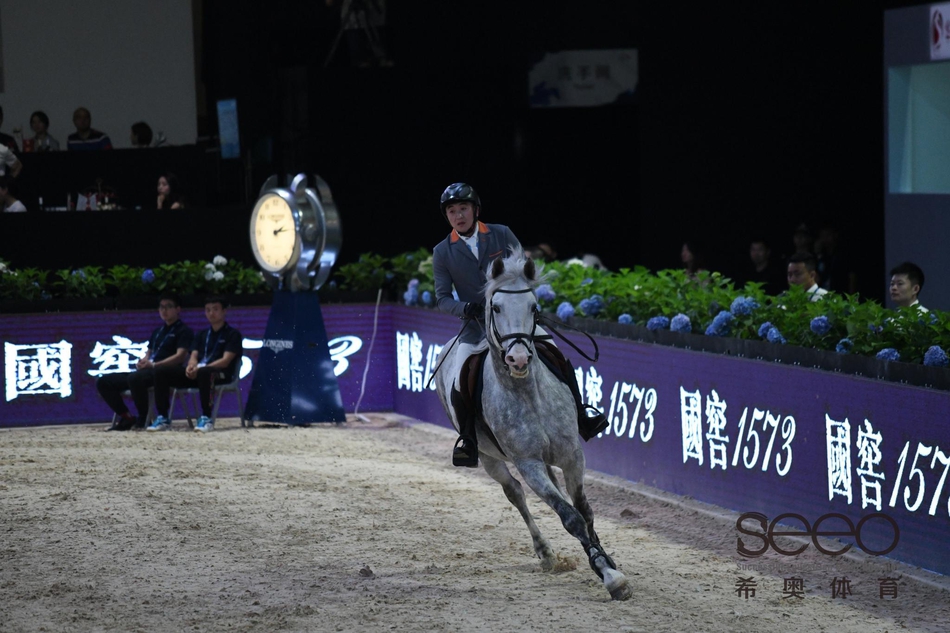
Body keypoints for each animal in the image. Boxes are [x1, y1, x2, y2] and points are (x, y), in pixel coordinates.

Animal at [436, 248, 632, 604]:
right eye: (495, 307)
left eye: (533, 307)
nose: (518, 360)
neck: (528, 394)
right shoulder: (528, 464)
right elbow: (570, 517)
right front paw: (609, 577)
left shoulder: (572, 455)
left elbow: (584, 510)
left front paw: (606, 561)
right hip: (491, 458)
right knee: (515, 493)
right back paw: (545, 552)